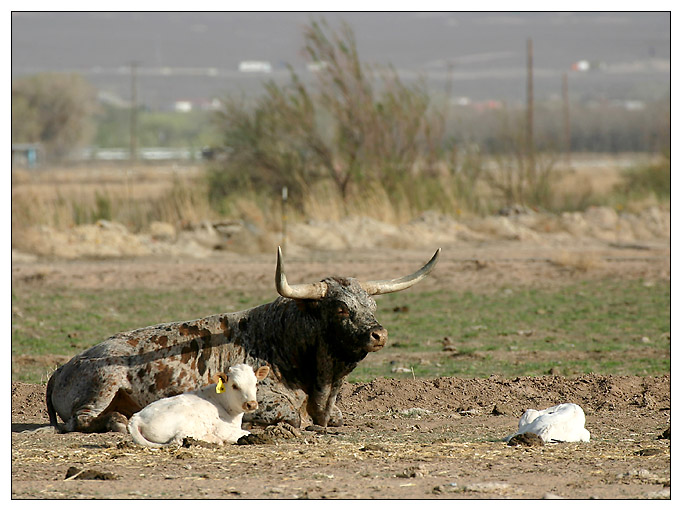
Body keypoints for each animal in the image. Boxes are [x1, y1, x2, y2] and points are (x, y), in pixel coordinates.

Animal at [47, 249, 440, 432]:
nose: (379, 333)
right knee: (82, 420)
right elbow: (292, 418)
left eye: (372, 305)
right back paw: (114, 422)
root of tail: (65, 366)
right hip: (104, 382)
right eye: (341, 308)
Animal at [127, 362, 268, 446]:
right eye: (234, 386)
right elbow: (246, 433)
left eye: (256, 383)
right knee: (179, 439)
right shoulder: (222, 429)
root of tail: (137, 417)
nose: (251, 404)